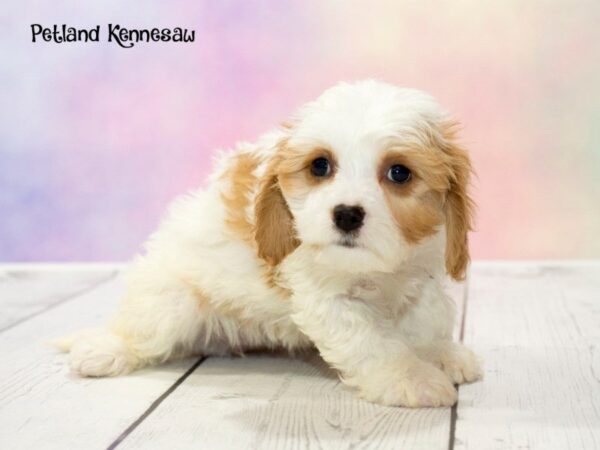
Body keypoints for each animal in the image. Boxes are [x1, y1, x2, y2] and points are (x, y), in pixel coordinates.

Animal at [56, 81, 482, 408]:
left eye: (399, 173)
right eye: (320, 166)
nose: (346, 214)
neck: (378, 270)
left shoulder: (422, 277)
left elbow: (428, 319)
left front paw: (440, 353)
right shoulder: (325, 297)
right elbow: (373, 343)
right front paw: (411, 379)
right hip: (169, 301)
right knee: (138, 331)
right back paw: (103, 350)